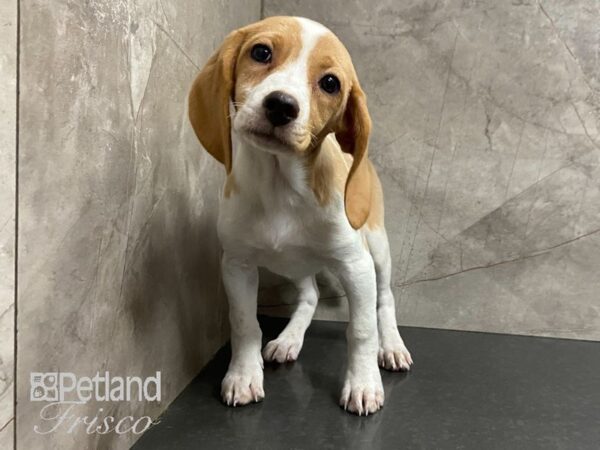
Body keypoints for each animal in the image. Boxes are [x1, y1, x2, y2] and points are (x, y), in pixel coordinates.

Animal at [189, 15, 412, 416]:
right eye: (261, 52)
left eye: (330, 83)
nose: (281, 105)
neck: (282, 188)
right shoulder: (237, 265)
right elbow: (244, 323)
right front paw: (243, 375)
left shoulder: (356, 265)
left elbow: (361, 329)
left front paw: (363, 383)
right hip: (290, 263)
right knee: (309, 294)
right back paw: (289, 339)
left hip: (377, 248)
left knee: (384, 298)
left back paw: (392, 346)